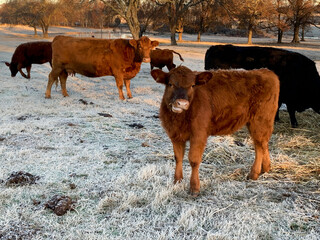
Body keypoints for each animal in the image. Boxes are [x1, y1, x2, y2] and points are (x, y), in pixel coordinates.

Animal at [151, 65, 278, 195]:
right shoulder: (175, 135)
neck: (179, 119)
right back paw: (266, 168)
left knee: (259, 146)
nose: (182, 103)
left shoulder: (199, 135)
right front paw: (177, 181)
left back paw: (254, 173)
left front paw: (194, 187)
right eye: (170, 84)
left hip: (259, 121)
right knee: (263, 144)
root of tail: (265, 71)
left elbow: (194, 160)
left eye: (192, 85)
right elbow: (178, 158)